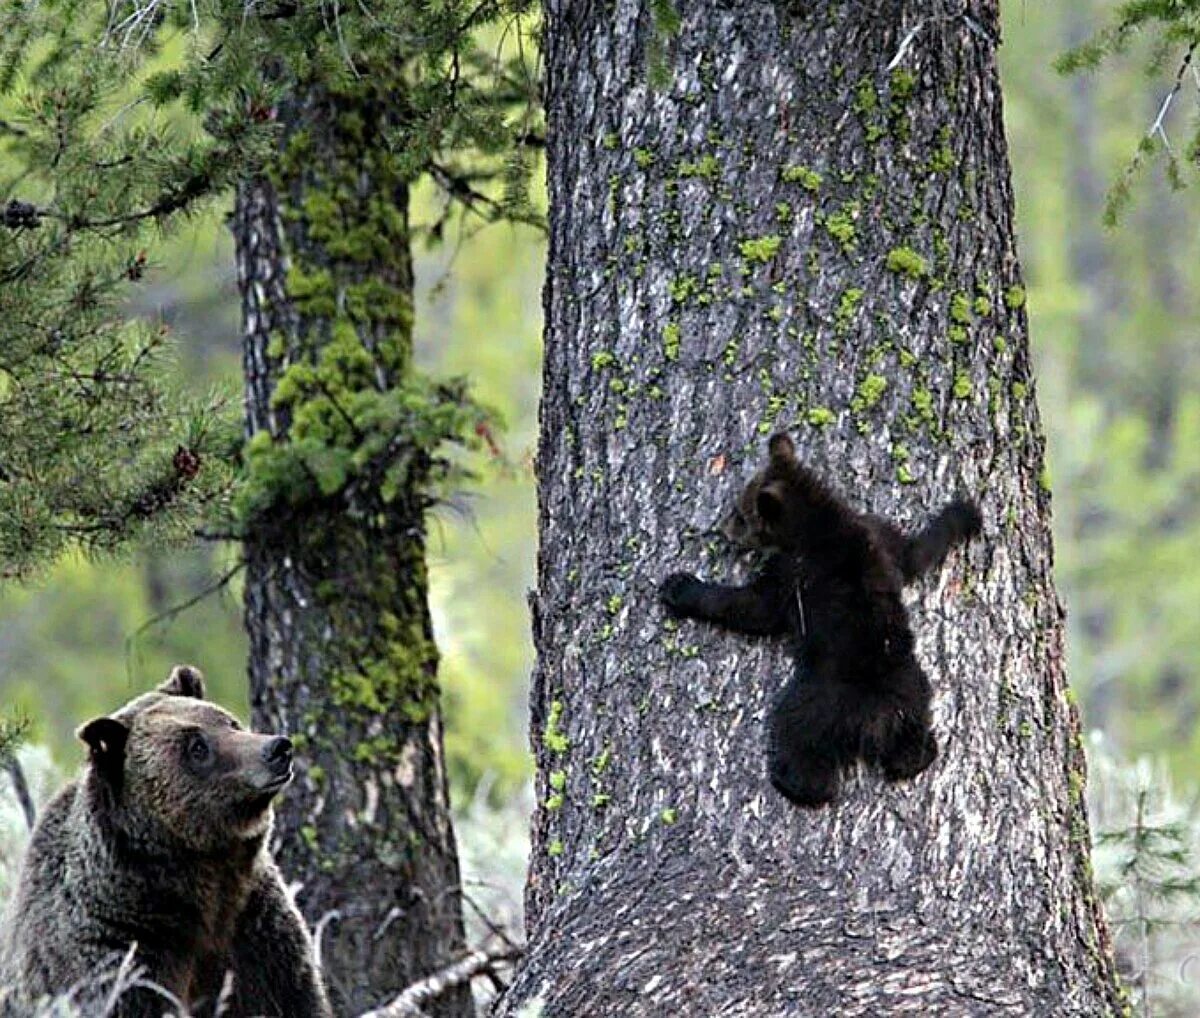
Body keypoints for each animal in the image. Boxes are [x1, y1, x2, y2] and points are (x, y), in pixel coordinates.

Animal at [0, 662, 333, 1013]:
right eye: (197, 747)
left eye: (231, 722)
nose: (278, 748)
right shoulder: (123, 949)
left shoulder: (256, 933)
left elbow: (292, 995)